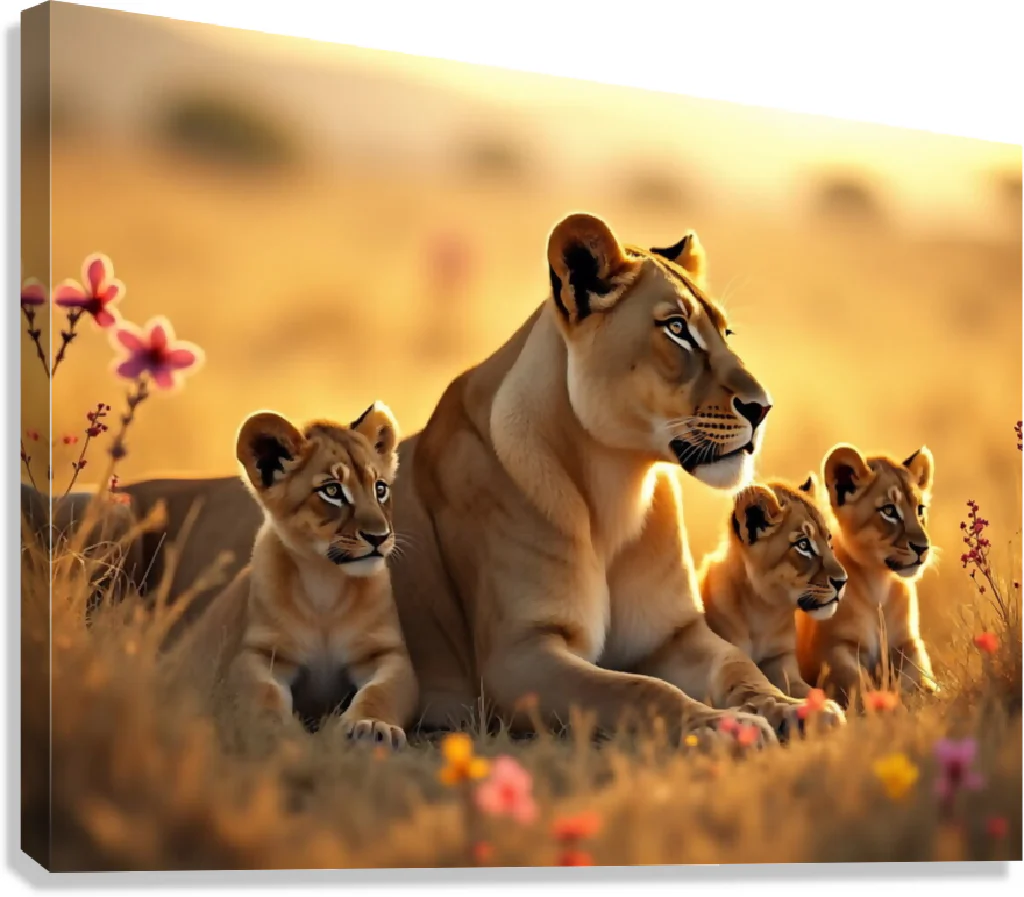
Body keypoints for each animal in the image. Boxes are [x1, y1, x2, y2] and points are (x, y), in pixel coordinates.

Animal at [226, 403, 417, 748]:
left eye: (380, 488)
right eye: (332, 490)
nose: (380, 536)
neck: (325, 582)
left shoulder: (385, 653)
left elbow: (381, 691)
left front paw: (371, 727)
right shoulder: (261, 653)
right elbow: (262, 693)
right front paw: (274, 731)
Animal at [700, 474, 848, 699]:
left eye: (829, 540)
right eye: (803, 545)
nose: (842, 581)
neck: (765, 613)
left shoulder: (780, 660)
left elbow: (804, 690)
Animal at [796, 443, 939, 706]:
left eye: (920, 509)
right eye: (889, 510)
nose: (923, 547)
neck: (878, 587)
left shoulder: (908, 643)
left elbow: (919, 675)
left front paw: (931, 694)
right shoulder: (830, 650)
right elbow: (855, 682)